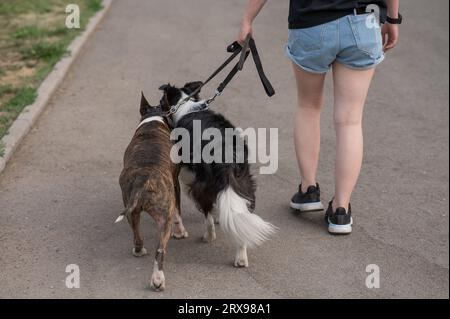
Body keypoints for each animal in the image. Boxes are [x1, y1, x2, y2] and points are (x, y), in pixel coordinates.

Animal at [118, 93, 188, 292]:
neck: (153, 118)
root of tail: (144, 179)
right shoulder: (175, 184)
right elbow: (179, 212)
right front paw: (181, 232)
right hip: (165, 215)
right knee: (160, 249)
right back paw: (158, 279)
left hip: (131, 208)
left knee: (137, 234)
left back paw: (139, 251)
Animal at [160, 82, 276, 268]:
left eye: (161, 101)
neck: (186, 105)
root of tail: (225, 155)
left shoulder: (186, 175)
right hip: (245, 183)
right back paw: (241, 257)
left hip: (202, 186)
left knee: (206, 214)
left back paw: (208, 236)